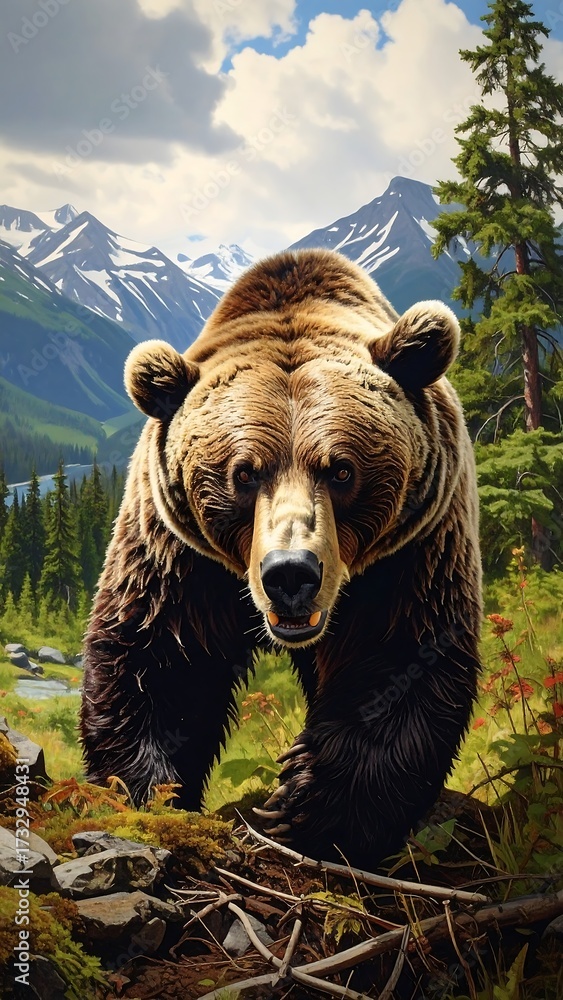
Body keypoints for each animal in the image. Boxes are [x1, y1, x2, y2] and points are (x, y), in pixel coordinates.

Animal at [81, 248, 482, 868]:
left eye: (341, 470)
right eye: (243, 473)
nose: (291, 573)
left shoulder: (412, 549)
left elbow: (401, 659)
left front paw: (303, 803)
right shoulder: (180, 556)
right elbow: (156, 658)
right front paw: (152, 791)